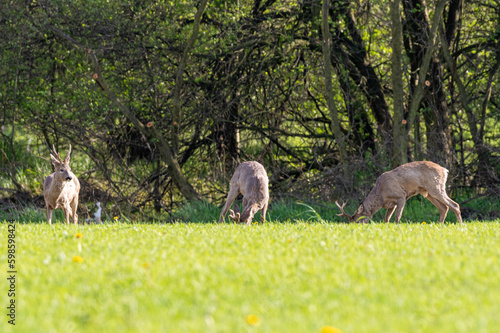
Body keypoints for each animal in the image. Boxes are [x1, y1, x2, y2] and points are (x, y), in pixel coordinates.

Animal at [334, 161, 462, 223]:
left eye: (358, 220)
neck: (381, 195)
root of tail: (445, 170)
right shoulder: (391, 204)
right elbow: (386, 218)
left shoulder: (401, 197)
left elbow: (397, 216)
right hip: (427, 193)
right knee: (444, 208)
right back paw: (441, 225)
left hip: (436, 187)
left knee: (455, 205)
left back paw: (460, 225)